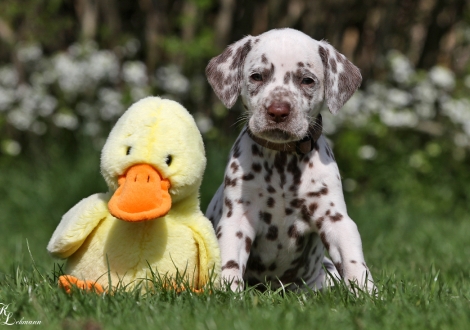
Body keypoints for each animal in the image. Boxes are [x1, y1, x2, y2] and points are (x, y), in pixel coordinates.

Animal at [206, 27, 374, 292]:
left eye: (307, 80)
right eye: (257, 76)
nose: (278, 111)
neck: (282, 162)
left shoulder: (336, 219)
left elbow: (354, 263)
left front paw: (368, 294)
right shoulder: (237, 220)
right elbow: (229, 264)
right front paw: (228, 293)